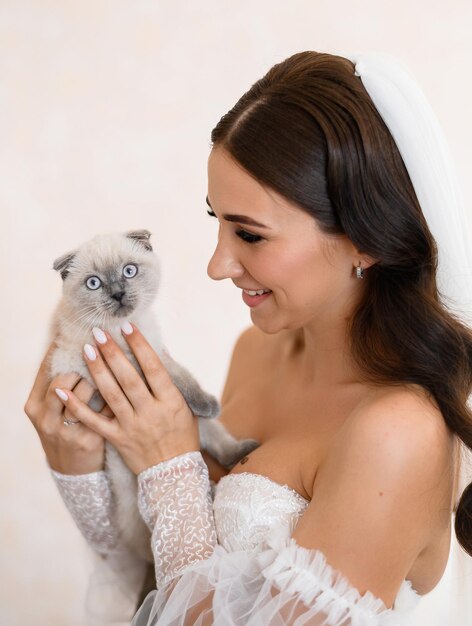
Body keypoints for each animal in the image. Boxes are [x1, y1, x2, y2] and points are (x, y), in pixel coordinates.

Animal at [48, 229, 258, 560]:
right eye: (94, 283)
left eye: (129, 271)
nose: (118, 294)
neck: (121, 331)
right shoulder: (73, 366)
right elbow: (135, 377)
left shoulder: (156, 351)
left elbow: (180, 378)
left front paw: (205, 403)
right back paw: (211, 487)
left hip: (204, 434)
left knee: (218, 444)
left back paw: (236, 447)